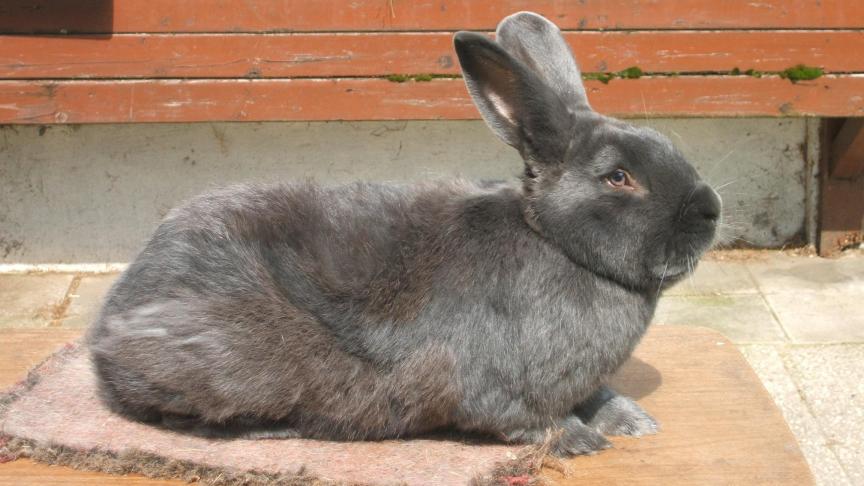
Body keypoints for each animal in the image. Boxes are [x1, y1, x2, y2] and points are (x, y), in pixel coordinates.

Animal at [86, 11, 721, 456]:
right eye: (618, 177)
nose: (711, 210)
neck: (555, 242)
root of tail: (109, 325)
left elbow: (598, 395)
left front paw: (635, 421)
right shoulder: (506, 389)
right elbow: (531, 419)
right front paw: (581, 440)